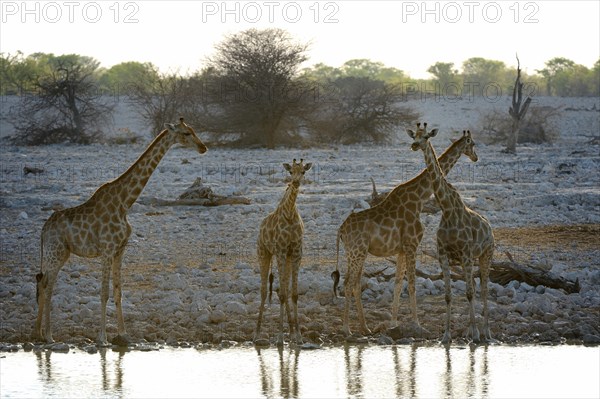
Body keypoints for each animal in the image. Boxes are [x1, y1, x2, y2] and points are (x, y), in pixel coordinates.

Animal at [35, 117, 210, 346]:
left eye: (193, 130)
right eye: (186, 133)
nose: (203, 147)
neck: (125, 203)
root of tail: (44, 229)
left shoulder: (120, 249)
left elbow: (118, 292)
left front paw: (123, 335)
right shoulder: (107, 249)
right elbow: (104, 293)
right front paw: (102, 338)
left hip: (58, 253)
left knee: (41, 281)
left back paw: (37, 333)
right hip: (56, 252)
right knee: (47, 285)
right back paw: (48, 335)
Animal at [254, 158, 312, 346]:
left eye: (303, 171)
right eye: (290, 171)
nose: (295, 182)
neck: (290, 213)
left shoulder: (296, 252)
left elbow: (293, 294)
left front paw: (298, 336)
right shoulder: (280, 250)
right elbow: (281, 294)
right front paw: (279, 338)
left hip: (285, 257)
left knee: (283, 289)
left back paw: (292, 332)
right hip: (263, 253)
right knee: (264, 291)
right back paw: (256, 334)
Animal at [332, 130, 478, 336]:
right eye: (472, 143)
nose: (475, 157)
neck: (419, 199)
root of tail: (341, 230)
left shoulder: (401, 248)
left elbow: (398, 284)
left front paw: (393, 323)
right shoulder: (411, 245)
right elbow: (412, 284)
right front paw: (417, 324)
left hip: (355, 253)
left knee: (356, 284)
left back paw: (365, 327)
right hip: (357, 252)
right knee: (348, 283)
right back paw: (347, 329)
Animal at [410, 123, 494, 346]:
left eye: (426, 137)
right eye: (415, 136)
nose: (414, 145)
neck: (446, 209)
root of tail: (490, 227)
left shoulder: (465, 253)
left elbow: (470, 293)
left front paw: (476, 335)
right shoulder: (444, 255)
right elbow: (448, 295)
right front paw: (446, 336)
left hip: (485, 255)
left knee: (483, 289)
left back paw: (486, 333)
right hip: (470, 259)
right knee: (474, 286)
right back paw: (471, 330)